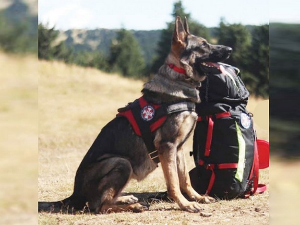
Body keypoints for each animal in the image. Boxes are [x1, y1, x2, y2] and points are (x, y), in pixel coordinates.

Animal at [38, 16, 232, 214]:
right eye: (203, 45)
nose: (230, 50)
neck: (179, 81)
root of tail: (74, 195)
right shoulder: (167, 146)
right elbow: (174, 182)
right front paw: (185, 204)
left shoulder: (178, 149)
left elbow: (185, 179)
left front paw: (197, 198)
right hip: (122, 163)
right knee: (100, 206)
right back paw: (133, 205)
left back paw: (127, 198)